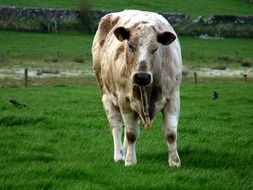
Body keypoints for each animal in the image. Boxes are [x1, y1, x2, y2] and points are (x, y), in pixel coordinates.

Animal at [92, 10, 183, 166]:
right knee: (116, 126)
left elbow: (171, 133)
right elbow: (131, 134)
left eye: (155, 48)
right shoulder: (124, 99)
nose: (142, 77)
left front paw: (174, 162)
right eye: (130, 46)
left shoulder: (173, 97)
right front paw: (130, 161)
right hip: (106, 95)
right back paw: (119, 155)